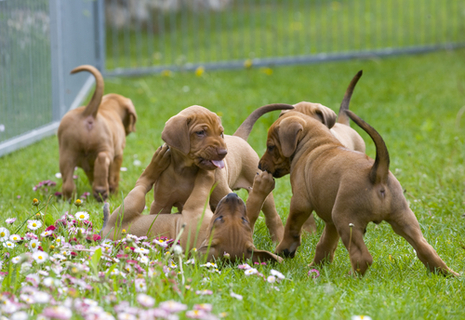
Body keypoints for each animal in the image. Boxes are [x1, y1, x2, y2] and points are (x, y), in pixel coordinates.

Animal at [56, 64, 136, 200]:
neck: (107, 107)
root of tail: (88, 113)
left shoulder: (88, 166)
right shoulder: (118, 154)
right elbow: (113, 176)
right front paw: (114, 192)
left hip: (66, 155)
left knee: (68, 183)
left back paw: (69, 198)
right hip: (105, 148)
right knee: (102, 160)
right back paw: (101, 191)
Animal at [102, 145, 282, 262]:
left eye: (219, 218)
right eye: (243, 220)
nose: (232, 196)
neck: (205, 232)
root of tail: (103, 234)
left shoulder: (197, 201)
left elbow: (205, 179)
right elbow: (253, 208)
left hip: (132, 202)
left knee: (143, 182)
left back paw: (157, 162)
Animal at [149, 103, 294, 242]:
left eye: (220, 133)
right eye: (200, 132)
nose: (223, 152)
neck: (186, 171)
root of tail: (238, 138)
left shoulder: (224, 197)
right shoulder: (161, 204)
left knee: (273, 216)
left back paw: (278, 240)